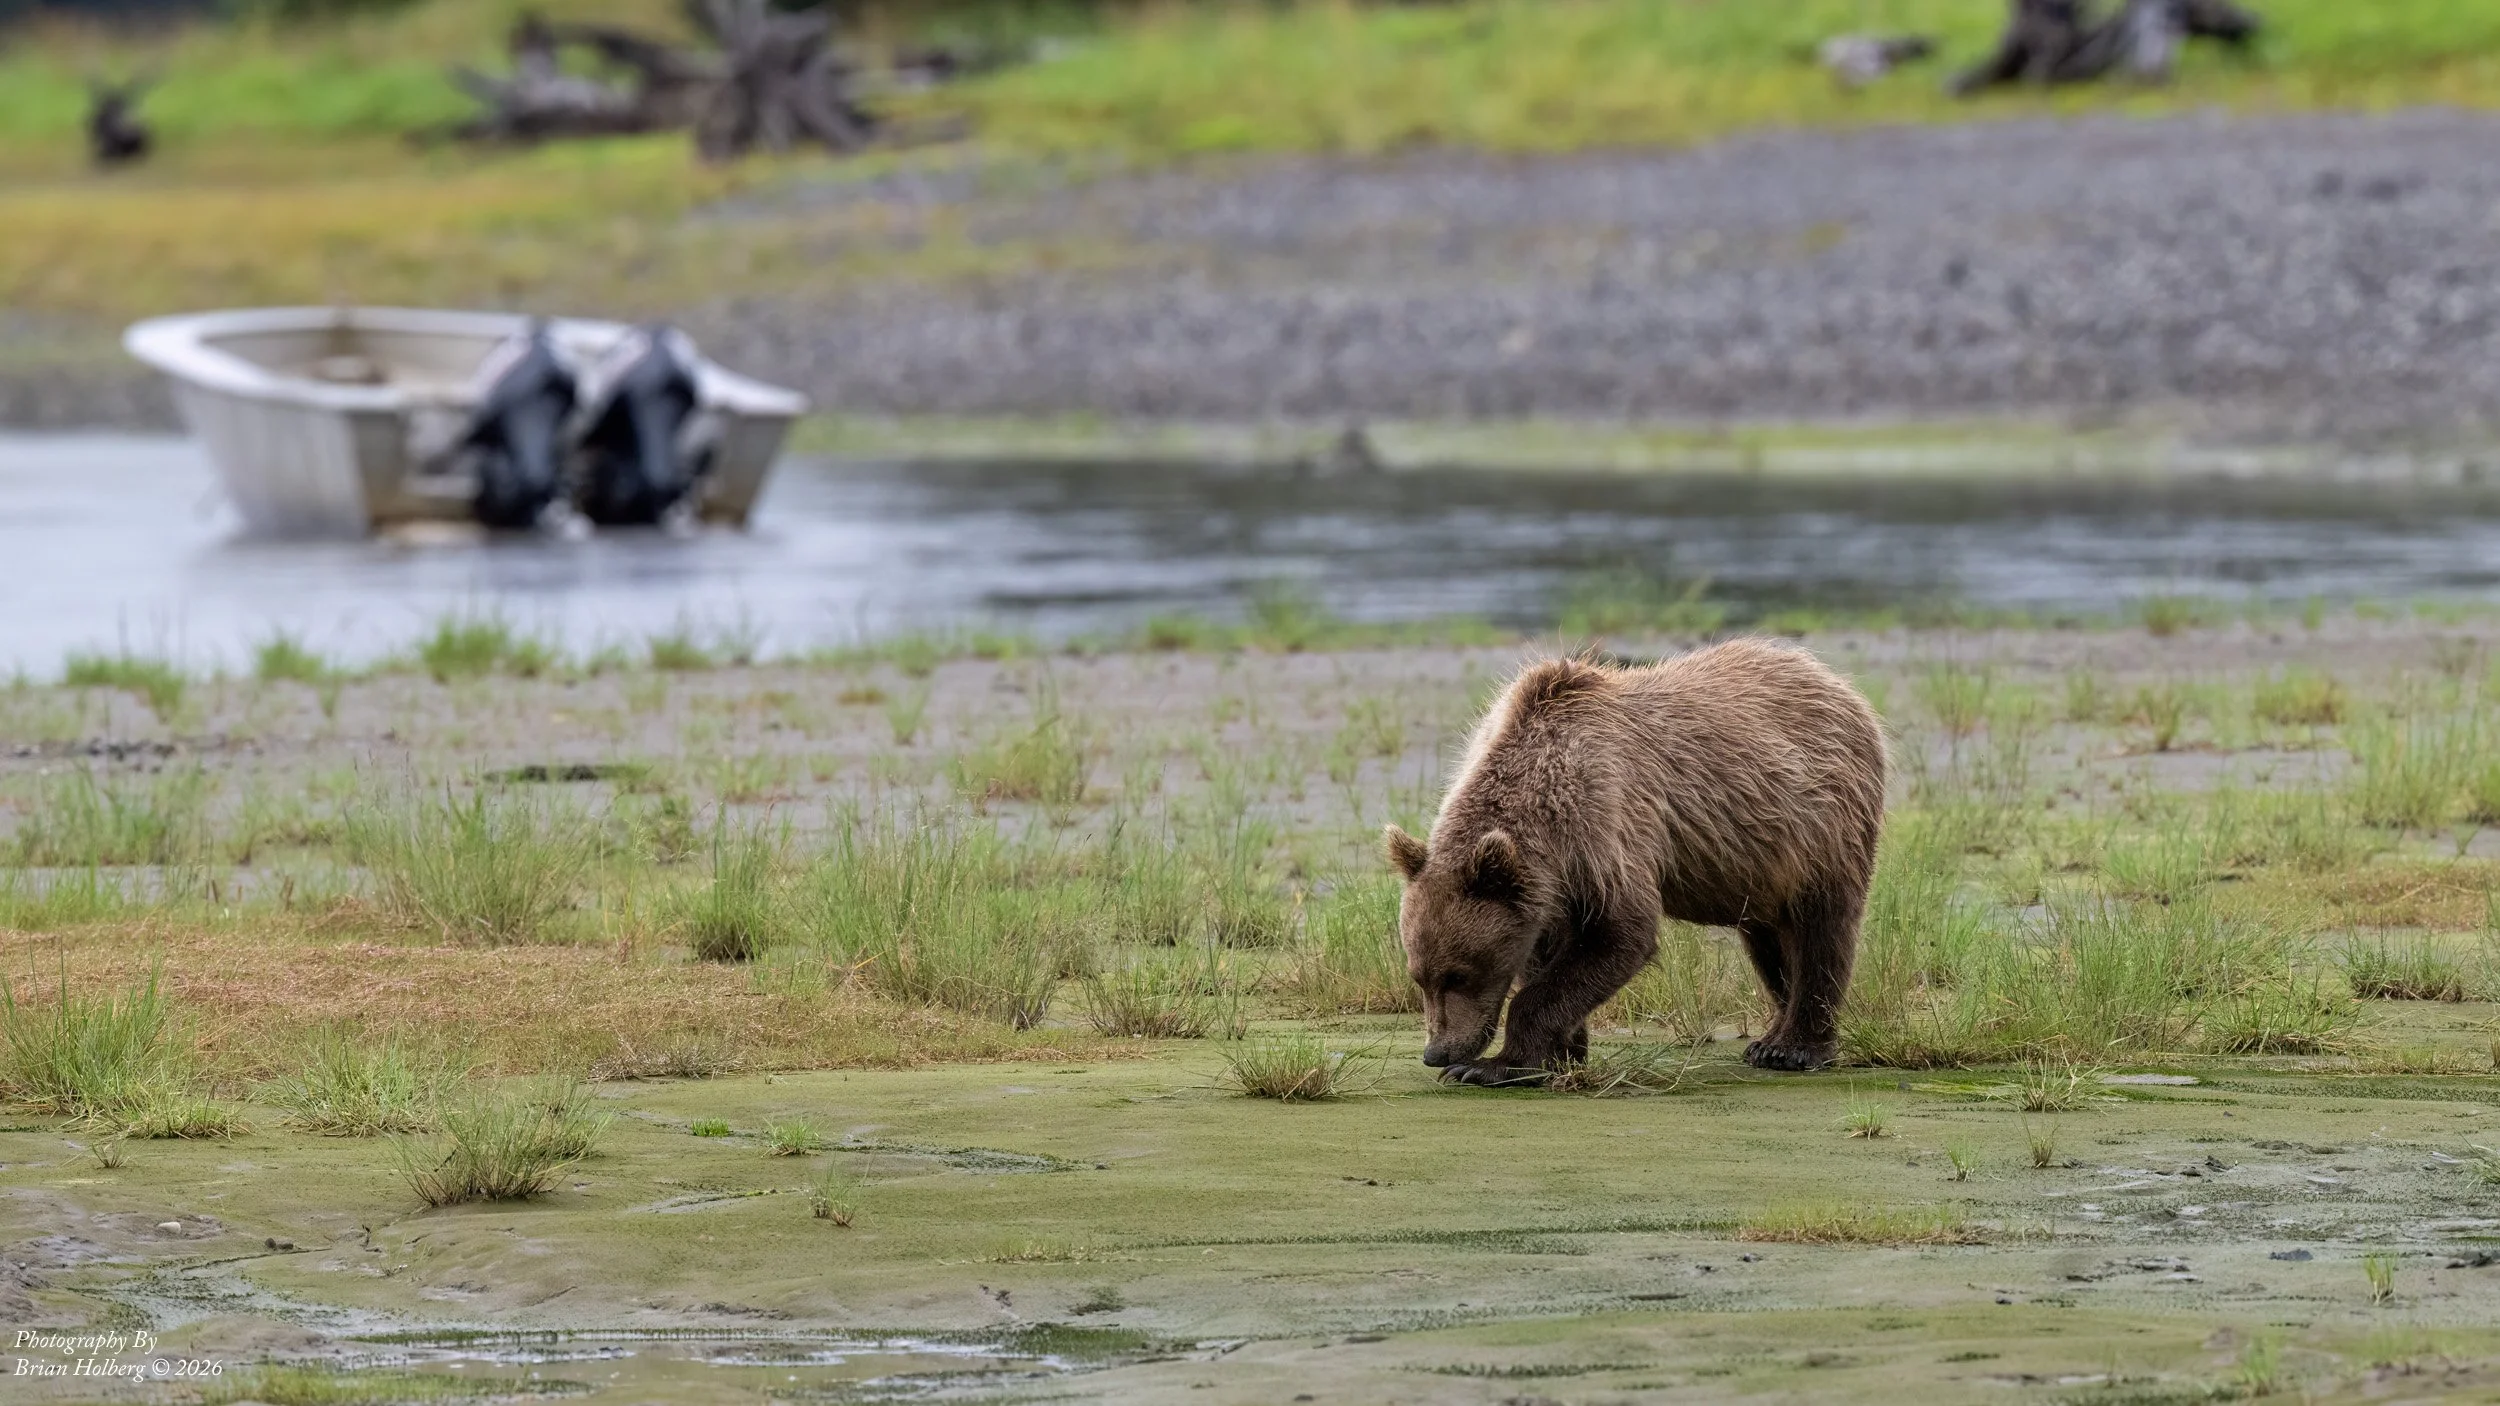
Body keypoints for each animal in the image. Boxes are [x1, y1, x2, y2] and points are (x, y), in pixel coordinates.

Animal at [1384, 638, 1887, 1082]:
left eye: (1459, 974)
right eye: (1418, 977)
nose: (1436, 1052)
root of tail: (1835, 682)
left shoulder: (1608, 825)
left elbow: (1623, 934)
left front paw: (1491, 1066)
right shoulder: (1550, 881)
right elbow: (1546, 952)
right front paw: (1559, 1052)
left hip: (1824, 826)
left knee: (1822, 931)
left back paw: (1795, 1047)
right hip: (1759, 862)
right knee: (1767, 940)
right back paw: (1769, 1037)